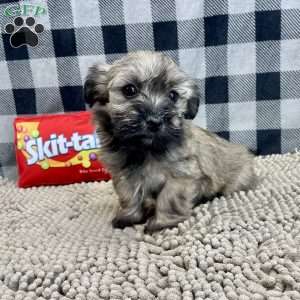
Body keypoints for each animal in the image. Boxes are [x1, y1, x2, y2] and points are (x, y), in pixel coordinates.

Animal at [84, 51, 255, 232]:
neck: (147, 149)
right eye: (129, 90)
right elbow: (128, 196)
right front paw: (129, 217)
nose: (154, 121)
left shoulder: (181, 176)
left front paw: (161, 222)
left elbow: (169, 199)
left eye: (173, 95)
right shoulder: (123, 174)